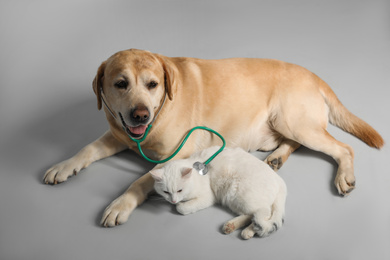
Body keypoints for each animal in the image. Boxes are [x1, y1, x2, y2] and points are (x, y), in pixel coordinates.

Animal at [150, 146, 286, 240]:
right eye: (166, 192)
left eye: (180, 190)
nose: (173, 200)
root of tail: (280, 181)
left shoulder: (208, 197)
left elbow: (181, 208)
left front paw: (179, 205)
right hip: (233, 199)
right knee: (250, 215)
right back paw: (232, 226)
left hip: (240, 194)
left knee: (263, 212)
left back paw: (248, 231)